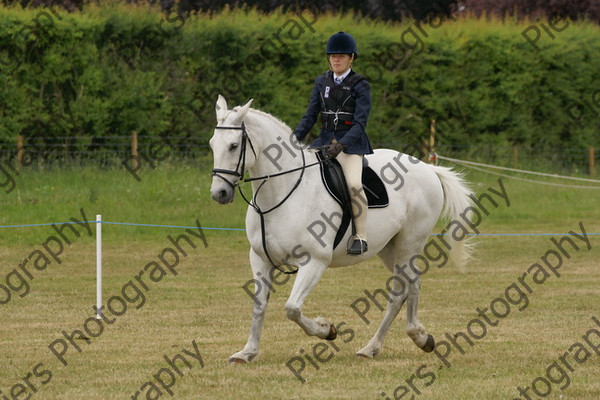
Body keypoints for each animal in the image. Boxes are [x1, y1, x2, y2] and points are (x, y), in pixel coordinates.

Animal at [211, 95, 474, 364]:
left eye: (233, 145)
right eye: (212, 145)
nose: (219, 193)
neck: (281, 192)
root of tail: (427, 168)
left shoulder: (314, 261)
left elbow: (292, 309)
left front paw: (327, 330)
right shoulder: (260, 258)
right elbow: (259, 305)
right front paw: (248, 352)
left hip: (408, 245)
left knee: (400, 291)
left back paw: (395, 342)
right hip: (389, 248)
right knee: (411, 286)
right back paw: (402, 341)